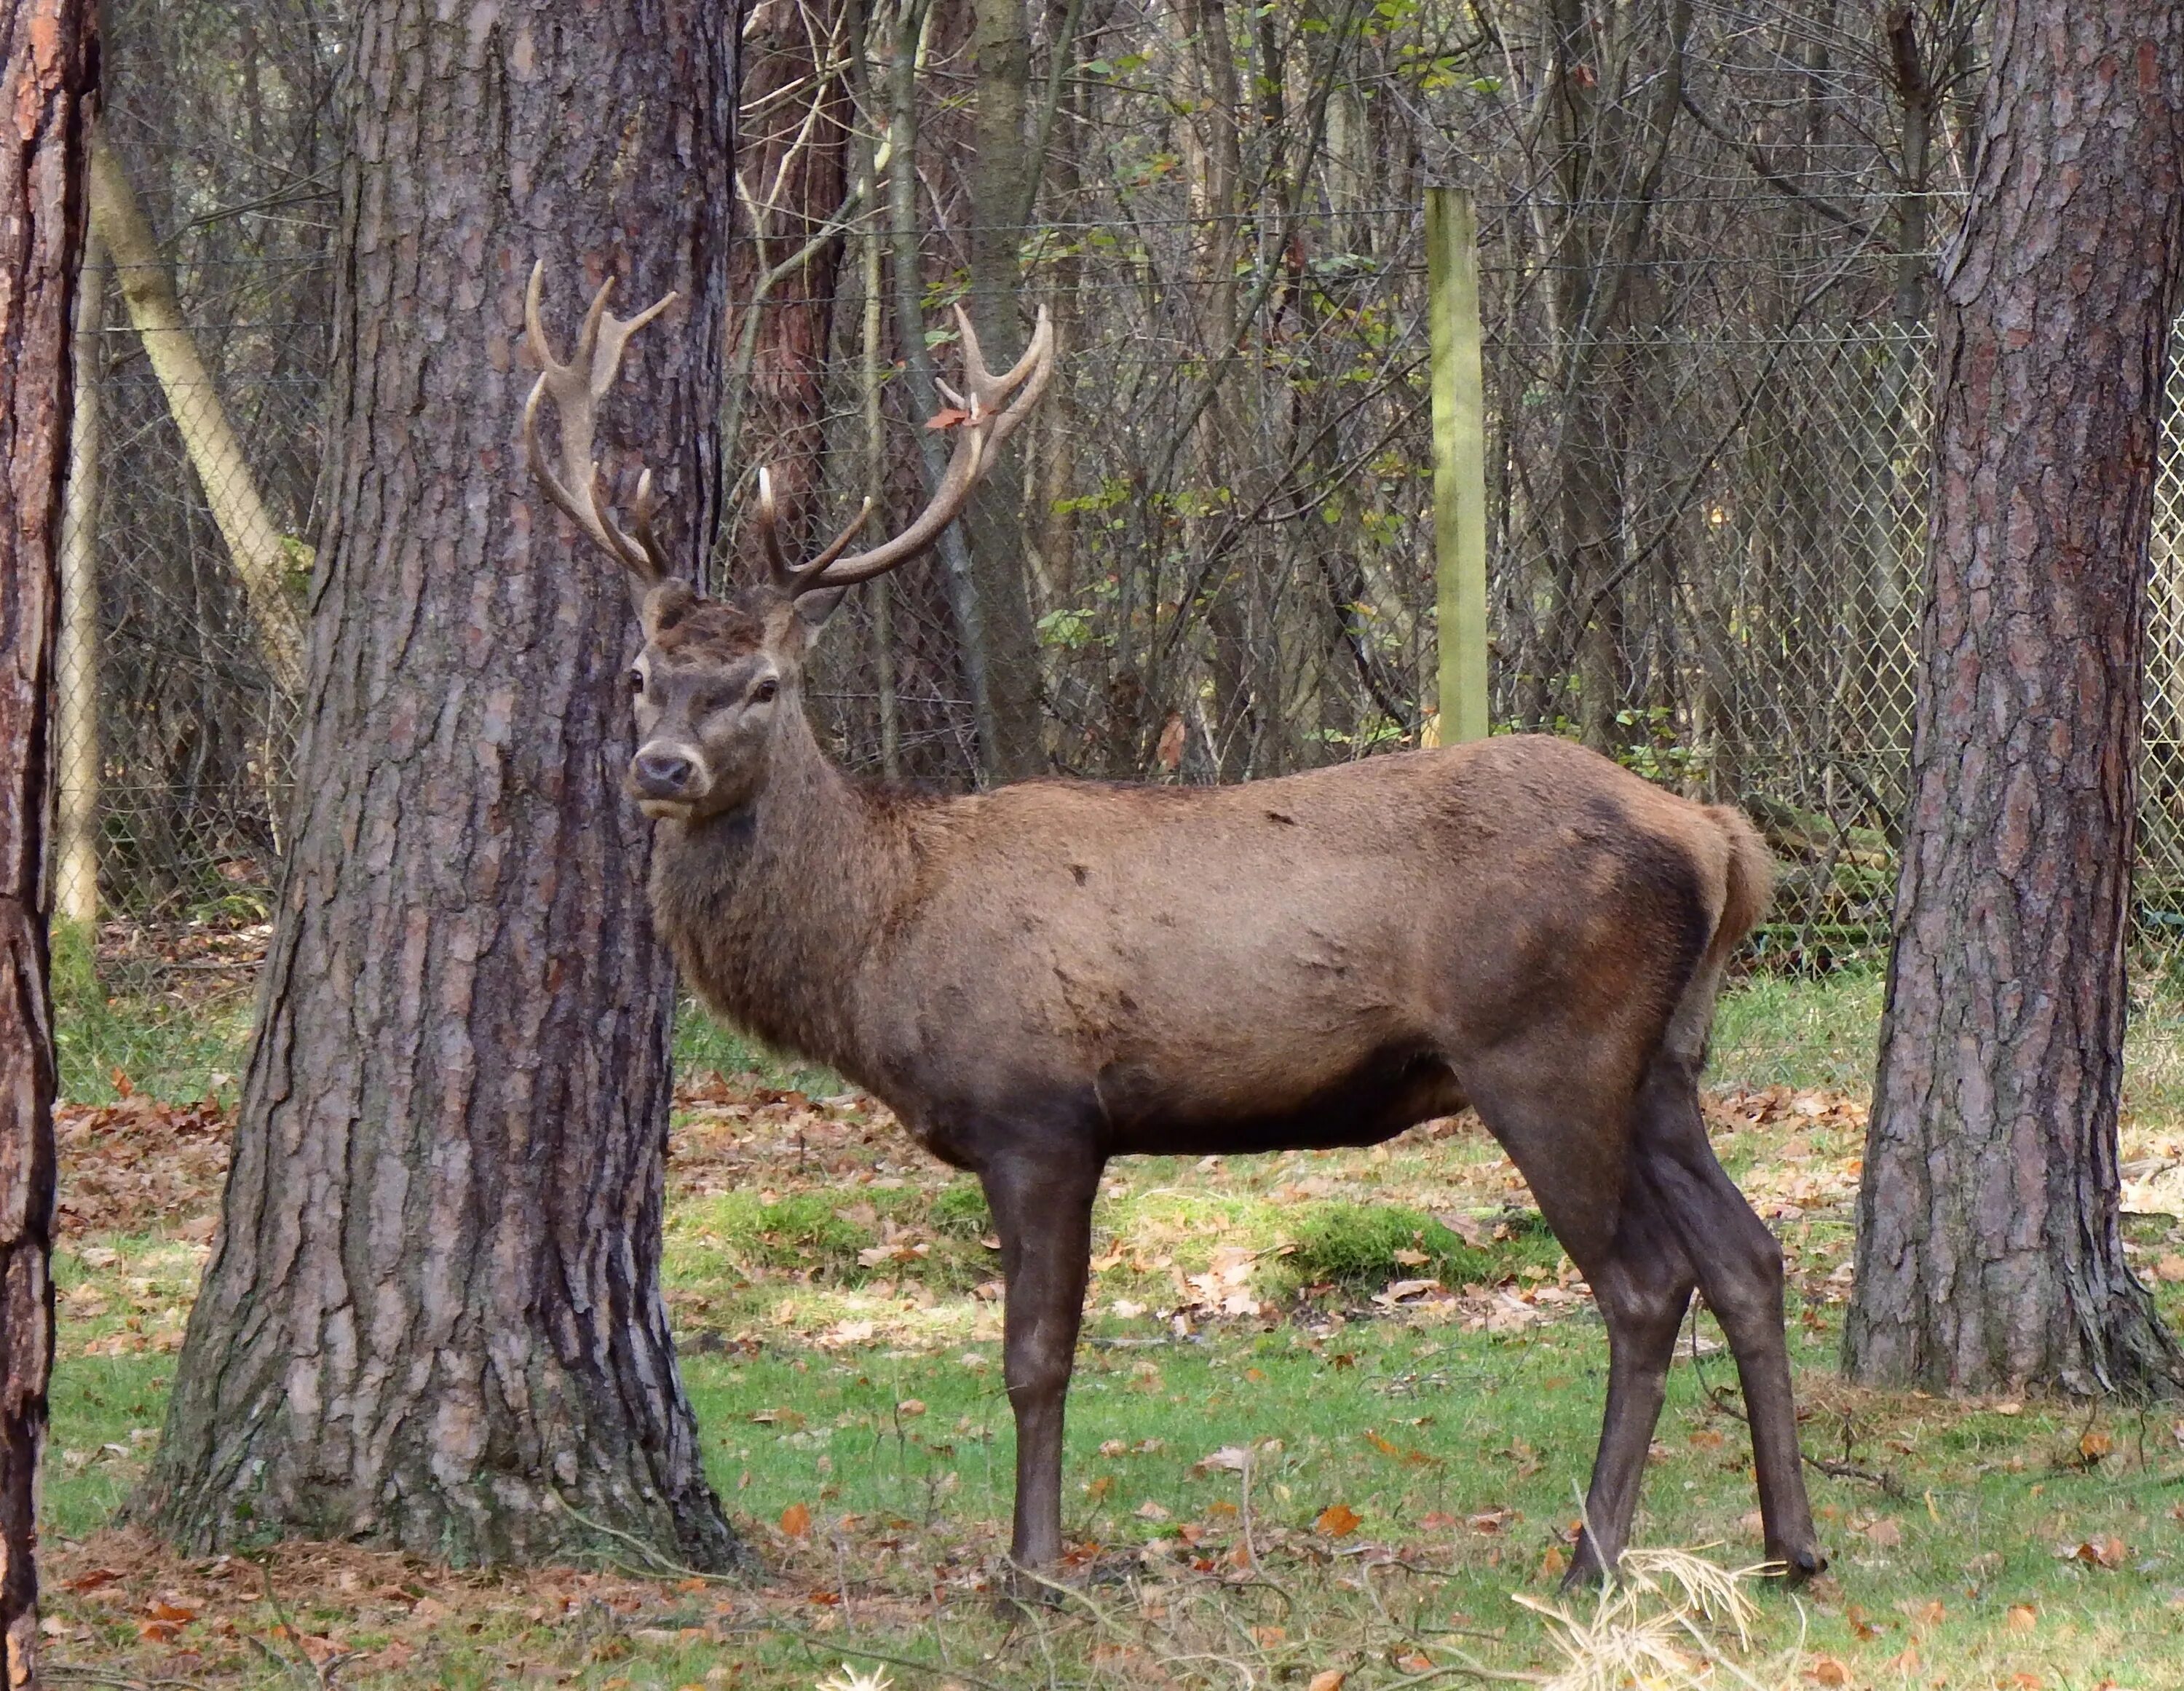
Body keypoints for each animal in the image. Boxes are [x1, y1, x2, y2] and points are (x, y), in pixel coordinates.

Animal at [515, 264, 1826, 1590]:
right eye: (641, 676)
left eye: (765, 687)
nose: (662, 767)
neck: (881, 939)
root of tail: (1715, 833)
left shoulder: (1039, 1114)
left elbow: (1035, 1357)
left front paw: (1033, 1572)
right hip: (1665, 1059)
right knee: (1748, 1254)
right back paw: (1792, 1545)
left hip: (1547, 1050)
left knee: (1647, 1282)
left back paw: (1590, 1560)